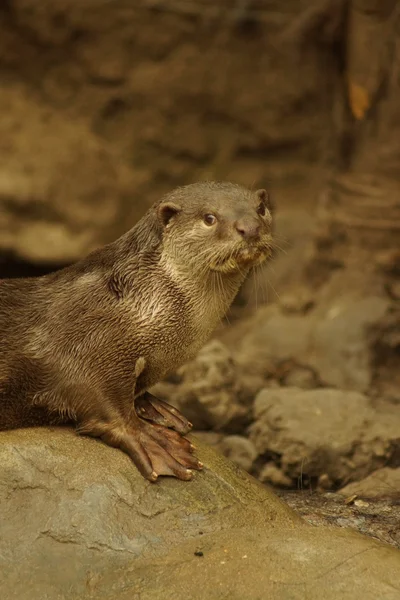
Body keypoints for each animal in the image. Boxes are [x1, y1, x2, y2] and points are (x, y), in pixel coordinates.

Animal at [0, 180, 272, 480]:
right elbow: (97, 396)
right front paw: (152, 441)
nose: (250, 227)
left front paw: (155, 408)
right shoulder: (82, 340)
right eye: (209, 218)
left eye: (261, 208)